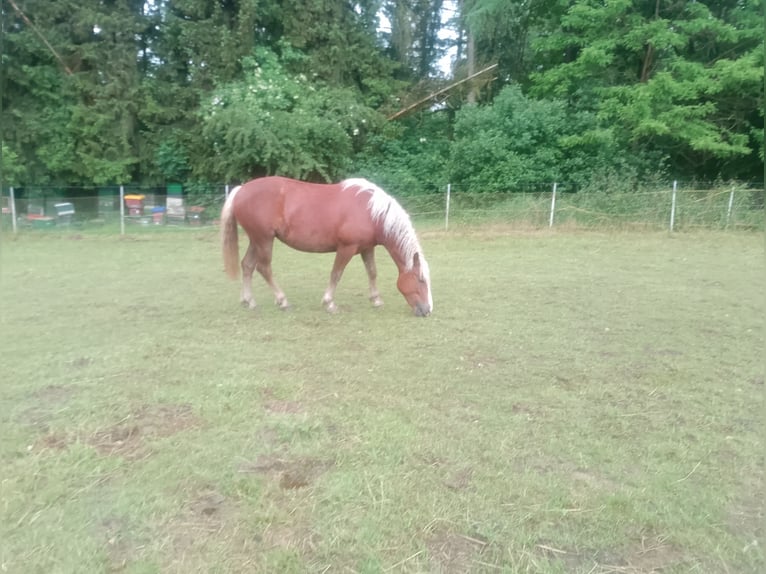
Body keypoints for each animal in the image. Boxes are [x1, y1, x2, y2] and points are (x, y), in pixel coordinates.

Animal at [220, 176, 433, 316]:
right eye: (420, 280)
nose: (427, 310)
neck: (371, 211)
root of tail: (241, 190)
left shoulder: (366, 248)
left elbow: (372, 272)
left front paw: (376, 299)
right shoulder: (346, 248)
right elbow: (336, 274)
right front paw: (329, 303)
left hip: (256, 240)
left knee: (247, 265)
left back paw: (249, 301)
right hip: (264, 240)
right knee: (264, 268)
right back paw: (282, 301)